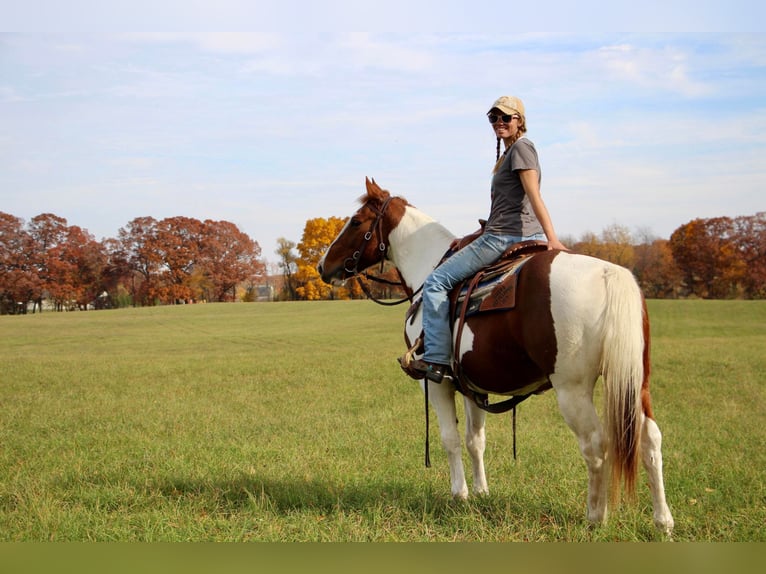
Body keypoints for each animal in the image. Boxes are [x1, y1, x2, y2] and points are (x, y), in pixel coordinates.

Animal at [316, 179, 676, 536]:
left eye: (356, 221)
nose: (323, 266)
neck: (427, 271)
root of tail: (608, 274)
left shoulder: (435, 384)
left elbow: (450, 439)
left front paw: (459, 494)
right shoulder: (473, 386)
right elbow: (475, 440)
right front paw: (481, 492)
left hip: (573, 391)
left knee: (595, 445)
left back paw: (595, 516)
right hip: (636, 384)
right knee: (650, 440)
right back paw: (663, 520)